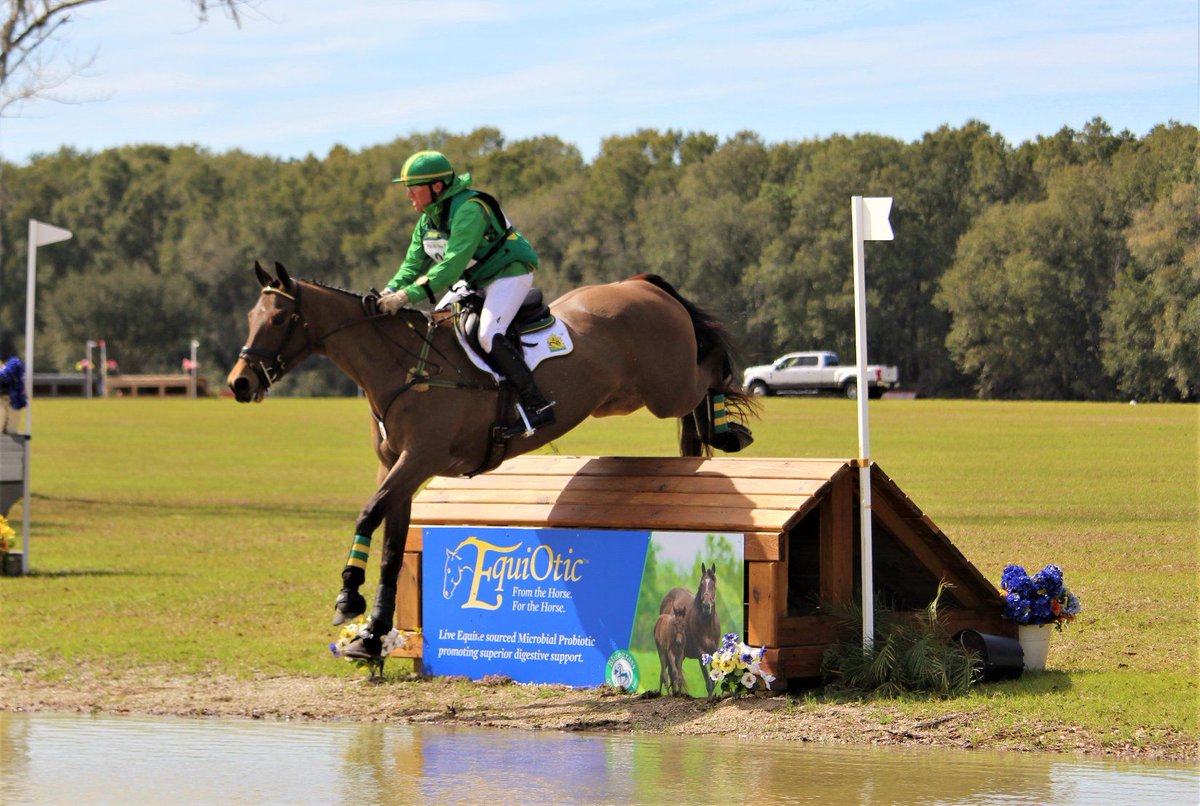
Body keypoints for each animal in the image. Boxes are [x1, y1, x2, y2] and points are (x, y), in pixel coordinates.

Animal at [227, 262, 754, 659]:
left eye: (279, 319)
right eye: (251, 315)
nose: (239, 383)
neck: (404, 368)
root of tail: (642, 284)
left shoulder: (420, 458)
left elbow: (368, 514)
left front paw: (347, 597)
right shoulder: (396, 467)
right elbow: (392, 547)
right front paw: (373, 635)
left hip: (666, 386)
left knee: (711, 370)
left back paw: (728, 428)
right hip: (624, 398)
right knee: (694, 400)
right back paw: (698, 447)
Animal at [658, 563, 721, 696]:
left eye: (713, 584)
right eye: (701, 584)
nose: (706, 606)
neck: (706, 625)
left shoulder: (713, 651)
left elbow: (712, 681)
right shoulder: (701, 653)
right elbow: (708, 683)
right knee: (670, 672)